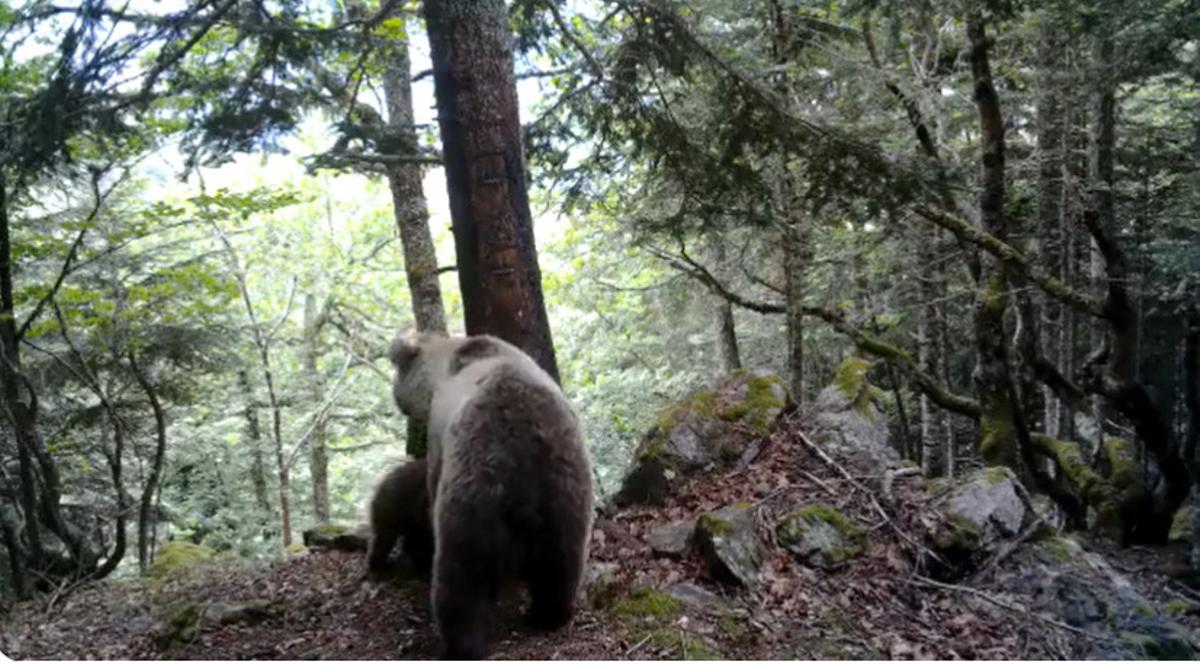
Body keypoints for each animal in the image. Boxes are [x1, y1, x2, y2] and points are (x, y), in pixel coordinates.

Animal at [391, 333, 592, 657]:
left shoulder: (440, 439)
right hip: (566, 479)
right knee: (563, 559)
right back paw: (548, 614)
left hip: (473, 486)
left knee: (459, 574)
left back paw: (460, 643)